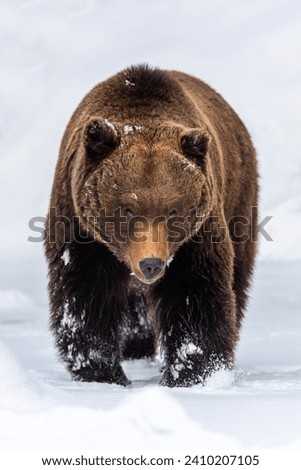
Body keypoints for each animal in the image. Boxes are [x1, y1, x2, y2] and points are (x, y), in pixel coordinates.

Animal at [44, 64, 258, 388]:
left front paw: (194, 373)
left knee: (238, 276)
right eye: (128, 209)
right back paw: (135, 348)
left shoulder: (195, 236)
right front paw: (103, 373)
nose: (151, 264)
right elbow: (87, 294)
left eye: (172, 211)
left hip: (239, 198)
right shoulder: (81, 229)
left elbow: (194, 293)